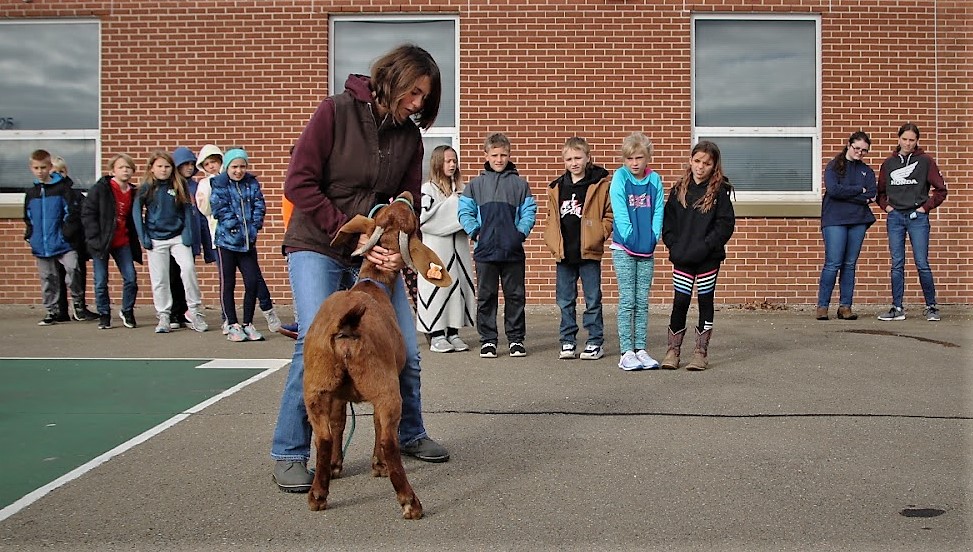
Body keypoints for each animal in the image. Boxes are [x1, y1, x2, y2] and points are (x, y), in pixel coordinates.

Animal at [302, 192, 450, 520]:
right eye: (413, 219)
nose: (405, 195)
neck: (375, 284)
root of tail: (347, 326)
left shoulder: (338, 396)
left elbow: (340, 422)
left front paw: (336, 466)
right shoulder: (385, 384)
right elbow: (377, 427)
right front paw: (378, 466)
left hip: (316, 387)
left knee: (323, 435)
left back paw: (318, 494)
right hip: (386, 388)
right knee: (387, 438)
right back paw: (410, 502)